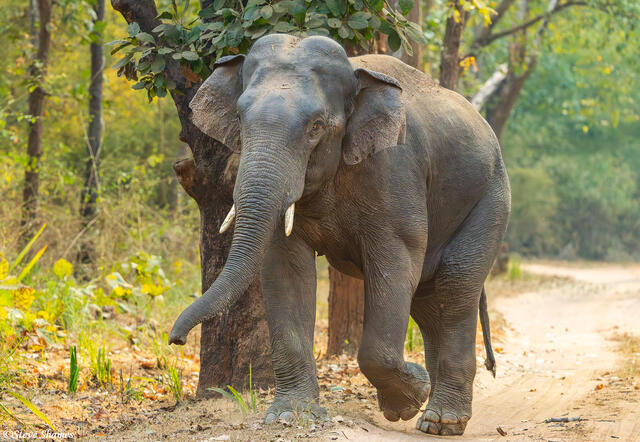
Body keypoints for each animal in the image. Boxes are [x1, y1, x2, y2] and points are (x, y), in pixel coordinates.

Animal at [169, 33, 510, 436]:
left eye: (316, 126)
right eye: (239, 117)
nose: (175, 339)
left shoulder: (395, 172)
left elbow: (396, 262)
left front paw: (409, 396)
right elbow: (283, 268)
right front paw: (290, 415)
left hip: (490, 198)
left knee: (455, 284)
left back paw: (441, 422)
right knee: (428, 300)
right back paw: (431, 413)